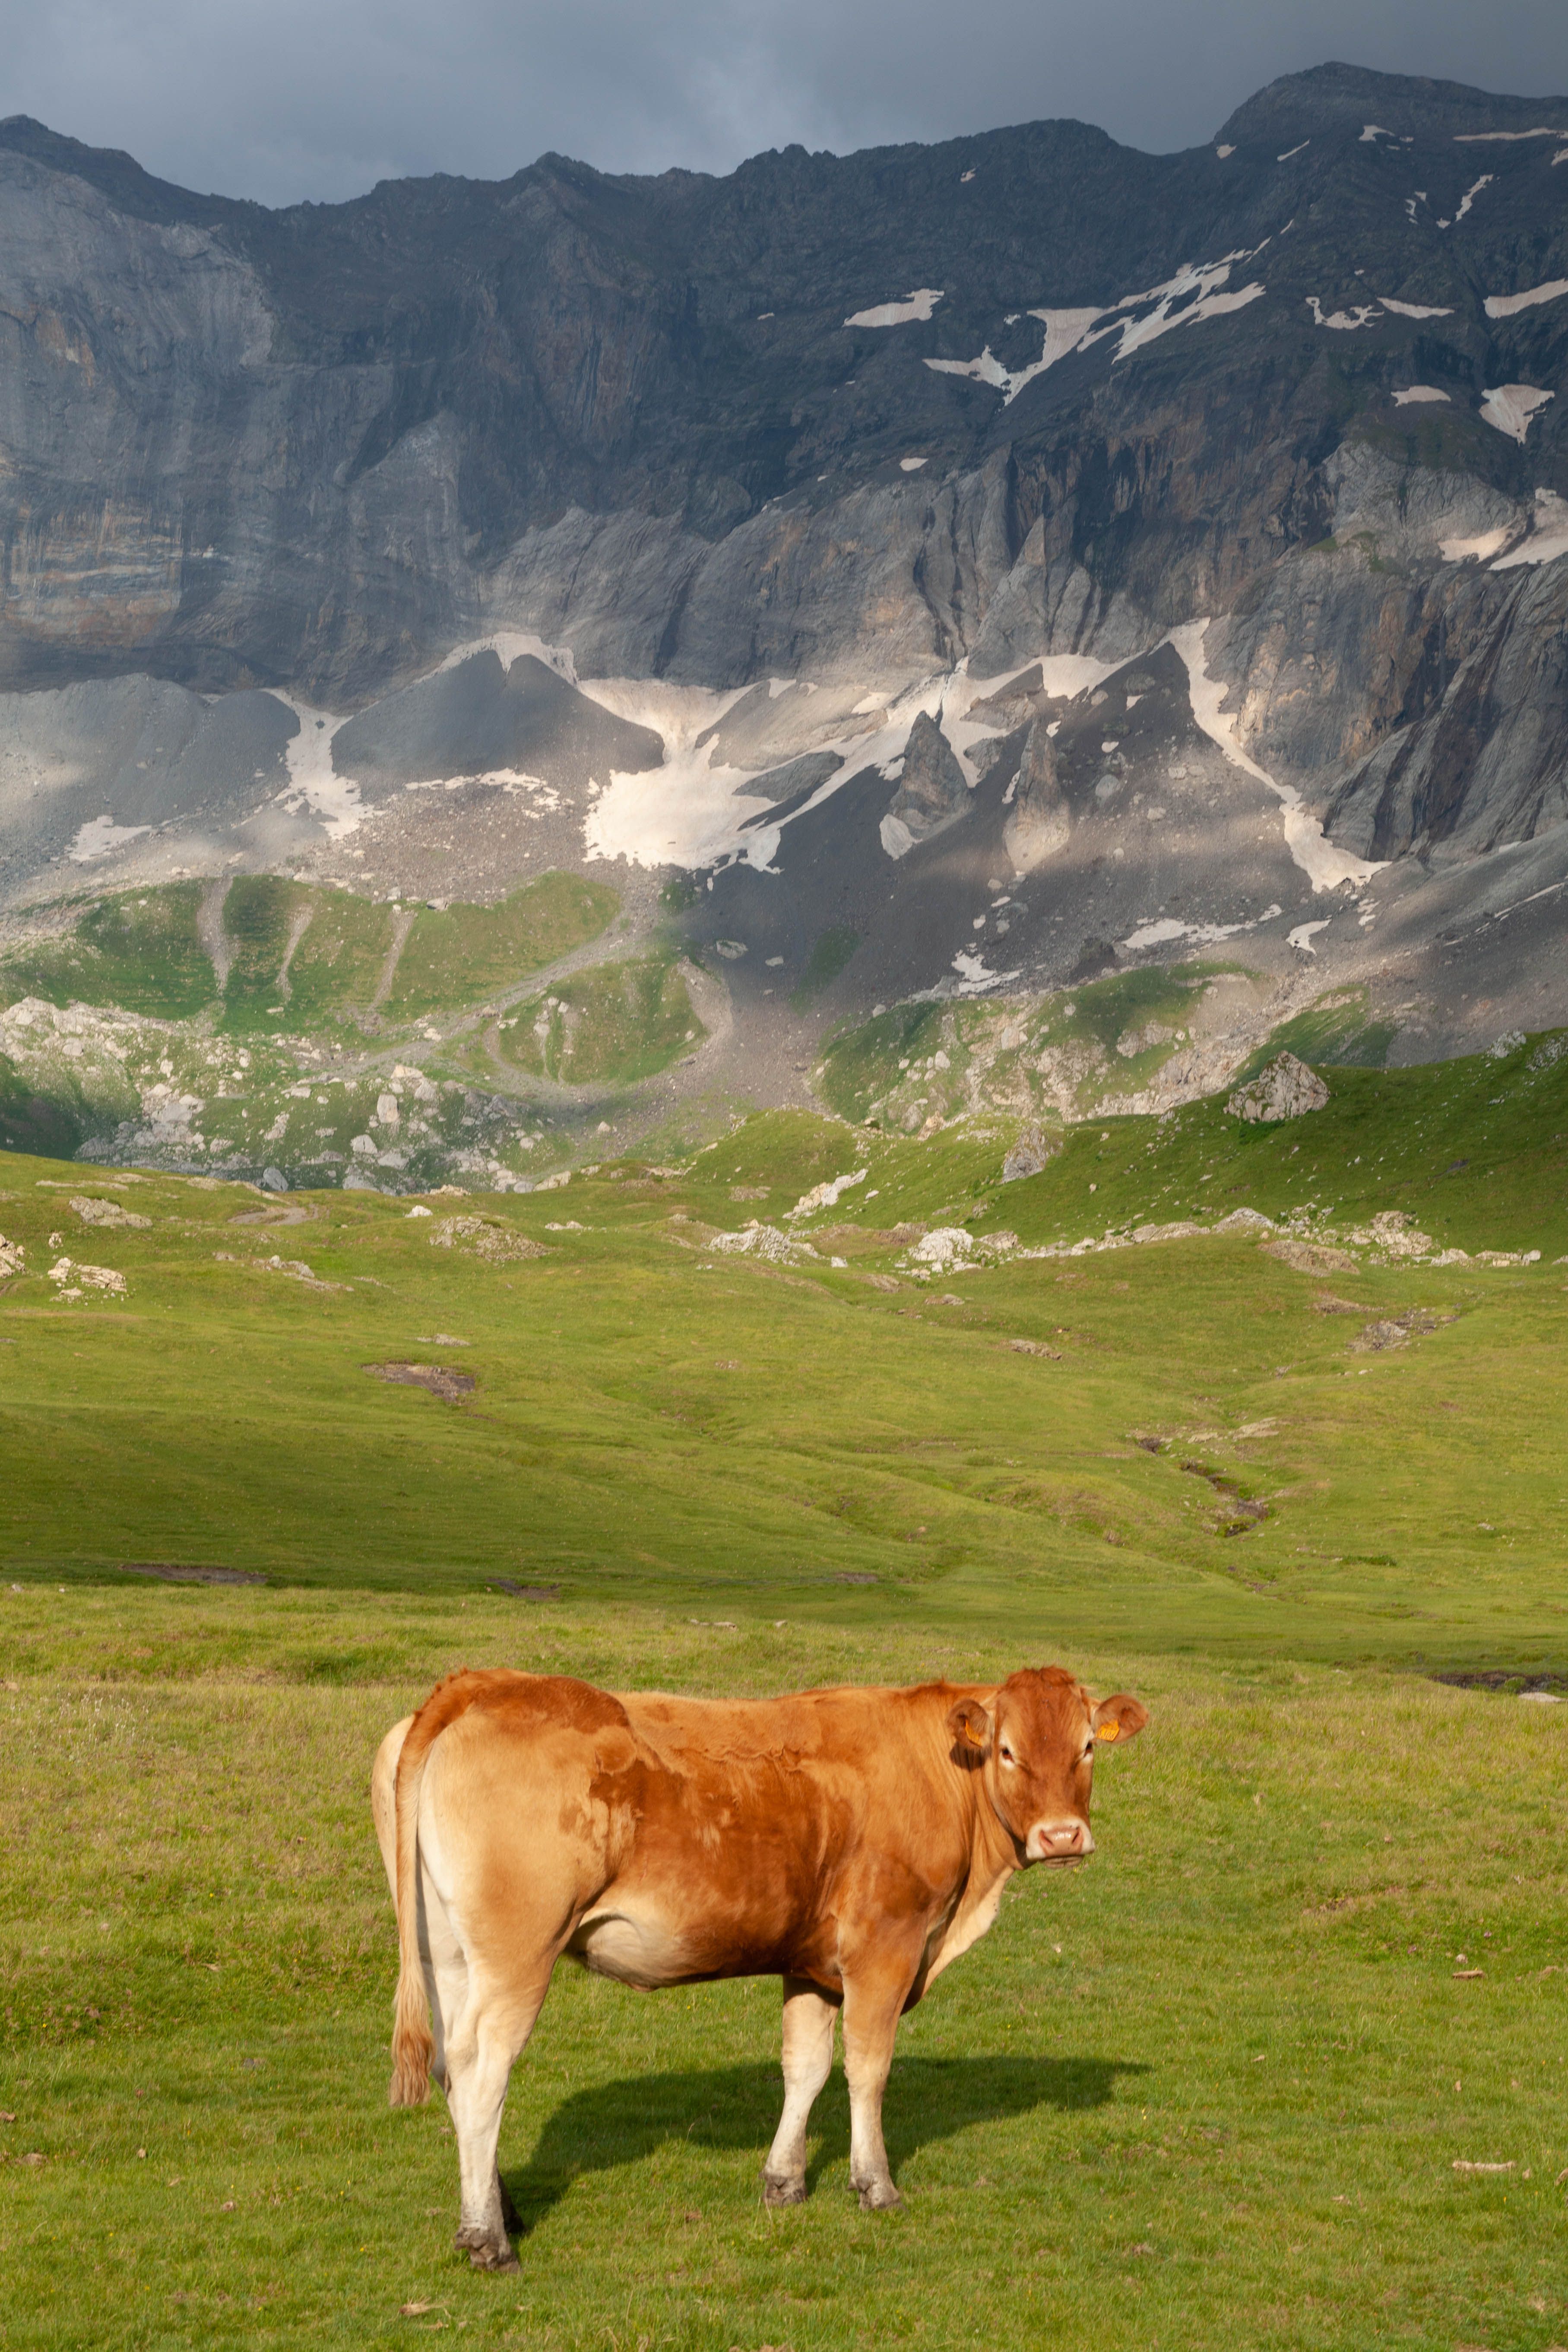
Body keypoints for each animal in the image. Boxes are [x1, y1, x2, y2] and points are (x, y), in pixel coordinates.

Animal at [370, 1662, 1147, 2270]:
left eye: (1086, 1746)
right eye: (1007, 1752)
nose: (1061, 1836)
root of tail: (485, 1682)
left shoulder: (811, 1963)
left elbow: (804, 2067)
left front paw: (783, 2181)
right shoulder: (884, 1946)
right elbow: (867, 2069)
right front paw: (875, 2184)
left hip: (449, 1956)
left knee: (449, 2065)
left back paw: (498, 2208)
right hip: (518, 1952)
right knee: (483, 2072)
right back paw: (488, 2238)